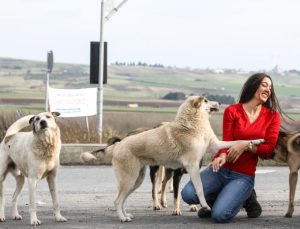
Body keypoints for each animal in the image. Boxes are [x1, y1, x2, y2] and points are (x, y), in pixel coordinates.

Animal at [81, 95, 264, 221]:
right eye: (205, 100)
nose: (219, 103)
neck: (192, 125)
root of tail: (118, 145)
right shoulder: (192, 167)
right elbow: (199, 189)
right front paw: (205, 206)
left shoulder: (215, 145)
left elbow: (237, 141)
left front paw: (257, 141)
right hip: (130, 179)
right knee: (117, 200)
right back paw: (122, 218)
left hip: (136, 181)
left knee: (122, 200)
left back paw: (126, 215)